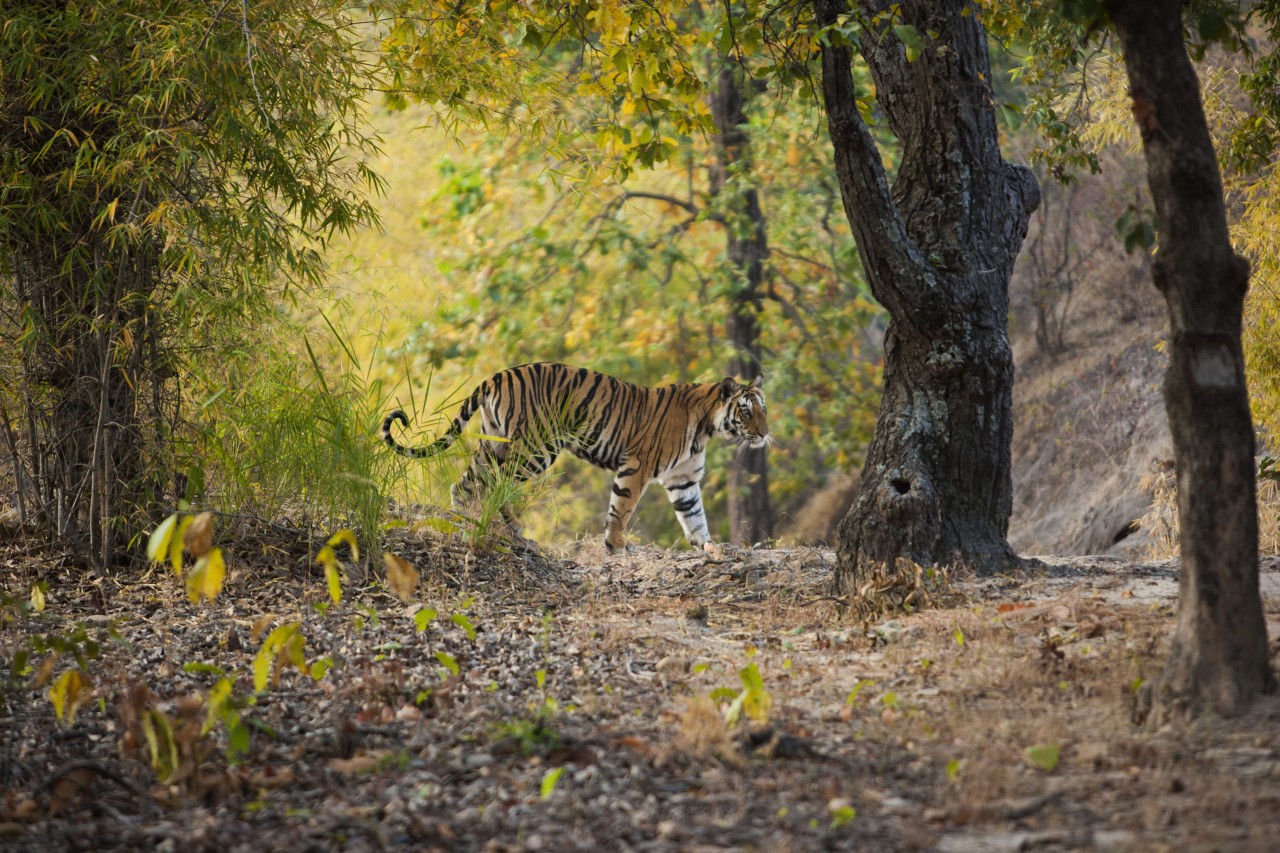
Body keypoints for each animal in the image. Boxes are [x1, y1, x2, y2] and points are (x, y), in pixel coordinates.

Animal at [378, 363, 768, 550]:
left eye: (763, 409)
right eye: (746, 411)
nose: (765, 434)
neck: (706, 428)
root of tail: (497, 375)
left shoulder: (683, 479)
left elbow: (694, 516)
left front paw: (708, 547)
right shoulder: (636, 466)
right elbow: (621, 509)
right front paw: (616, 546)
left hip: (495, 443)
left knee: (468, 484)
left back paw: (473, 520)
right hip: (535, 448)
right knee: (497, 485)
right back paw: (505, 528)